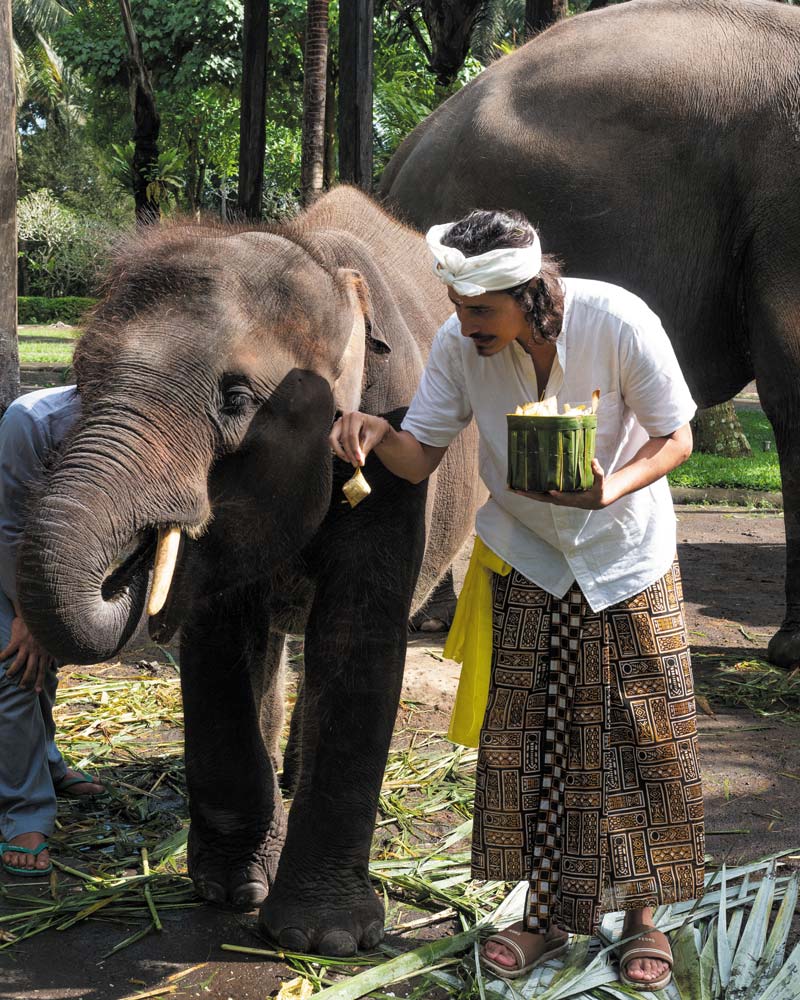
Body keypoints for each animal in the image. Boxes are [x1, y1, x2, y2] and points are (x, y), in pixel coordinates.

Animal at [14, 189, 482, 960]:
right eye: (79, 378)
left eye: (235, 399)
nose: (131, 564)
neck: (324, 270)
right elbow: (221, 638)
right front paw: (231, 893)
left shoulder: (396, 438)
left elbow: (357, 638)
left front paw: (324, 939)